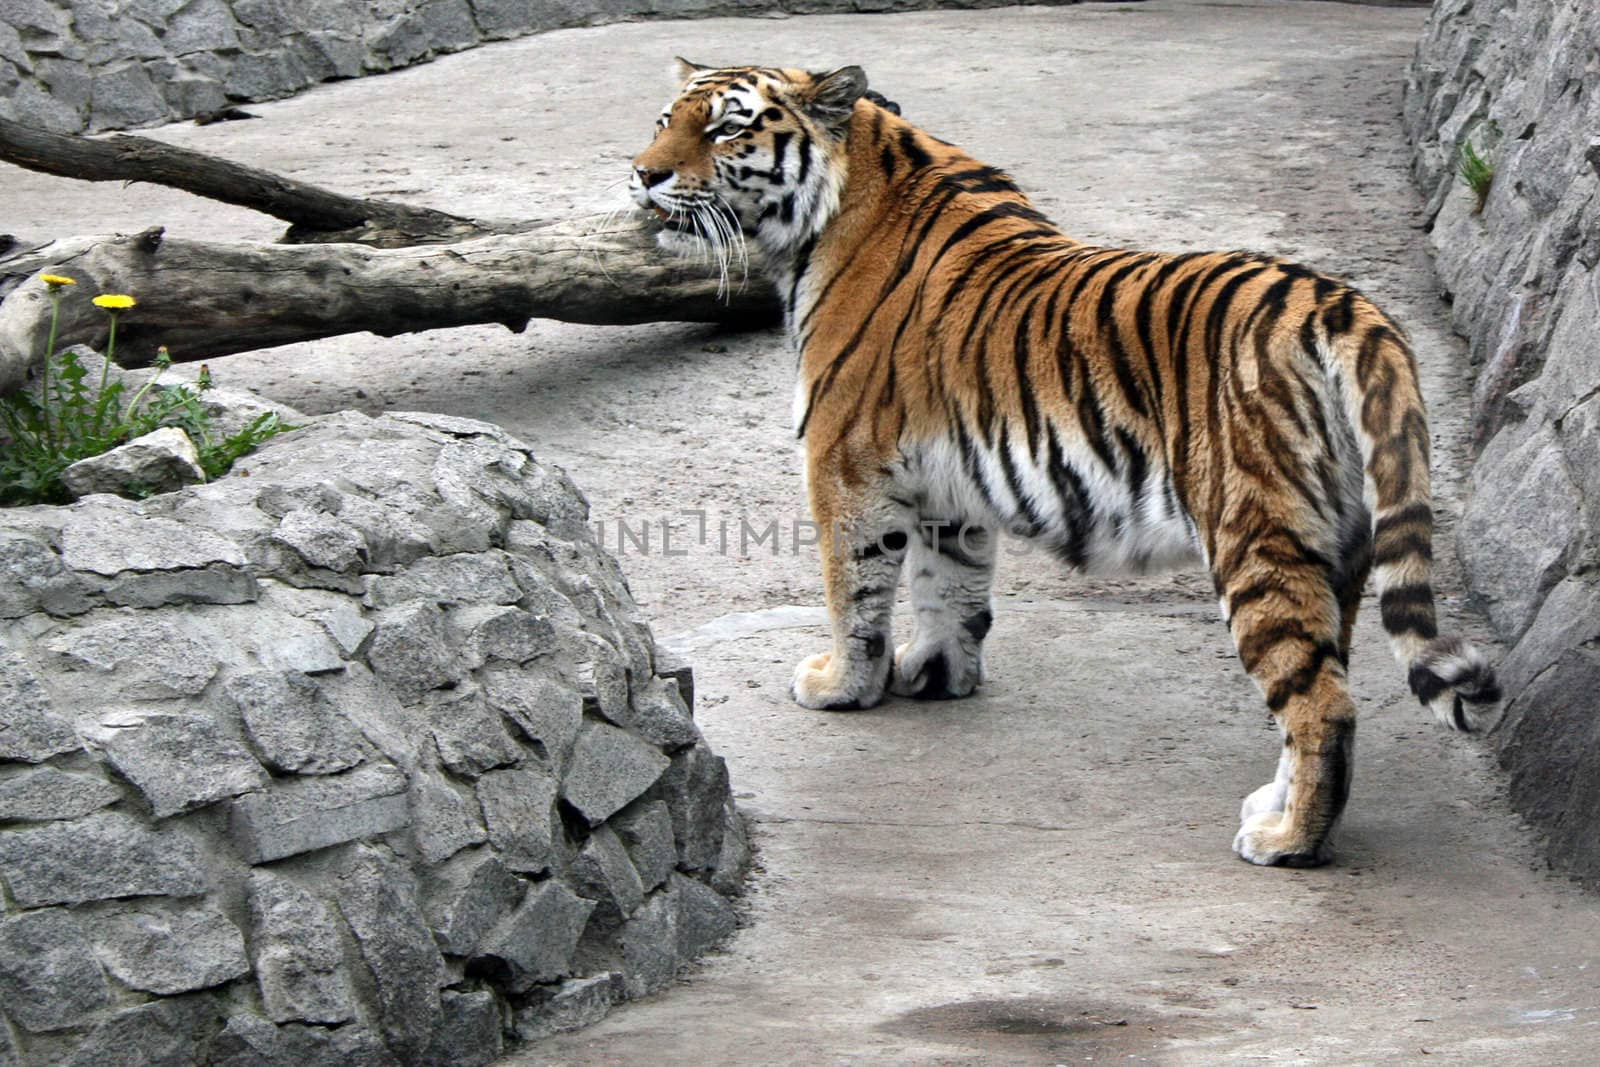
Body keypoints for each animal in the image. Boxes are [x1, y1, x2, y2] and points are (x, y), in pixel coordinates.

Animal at [627, 62, 1497, 870]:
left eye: (725, 129)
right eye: (667, 120)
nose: (642, 174)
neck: (834, 204)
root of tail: (1347, 306)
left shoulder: (844, 464)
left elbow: (857, 592)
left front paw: (840, 683)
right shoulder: (946, 482)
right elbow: (949, 586)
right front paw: (936, 673)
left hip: (1256, 540)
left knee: (1322, 705)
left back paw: (1288, 842)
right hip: (1337, 548)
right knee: (1323, 680)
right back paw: (1274, 808)